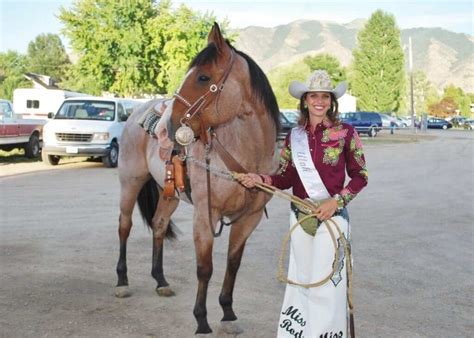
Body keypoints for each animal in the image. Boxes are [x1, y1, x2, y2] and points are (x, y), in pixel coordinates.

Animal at [114, 23, 280, 336]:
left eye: (203, 77)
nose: (167, 127)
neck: (244, 154)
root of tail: (137, 112)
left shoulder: (248, 218)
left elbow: (233, 263)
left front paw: (228, 313)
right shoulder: (206, 214)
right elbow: (205, 268)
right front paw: (202, 320)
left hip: (169, 194)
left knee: (158, 225)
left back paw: (161, 281)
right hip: (130, 181)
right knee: (124, 226)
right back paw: (122, 281)